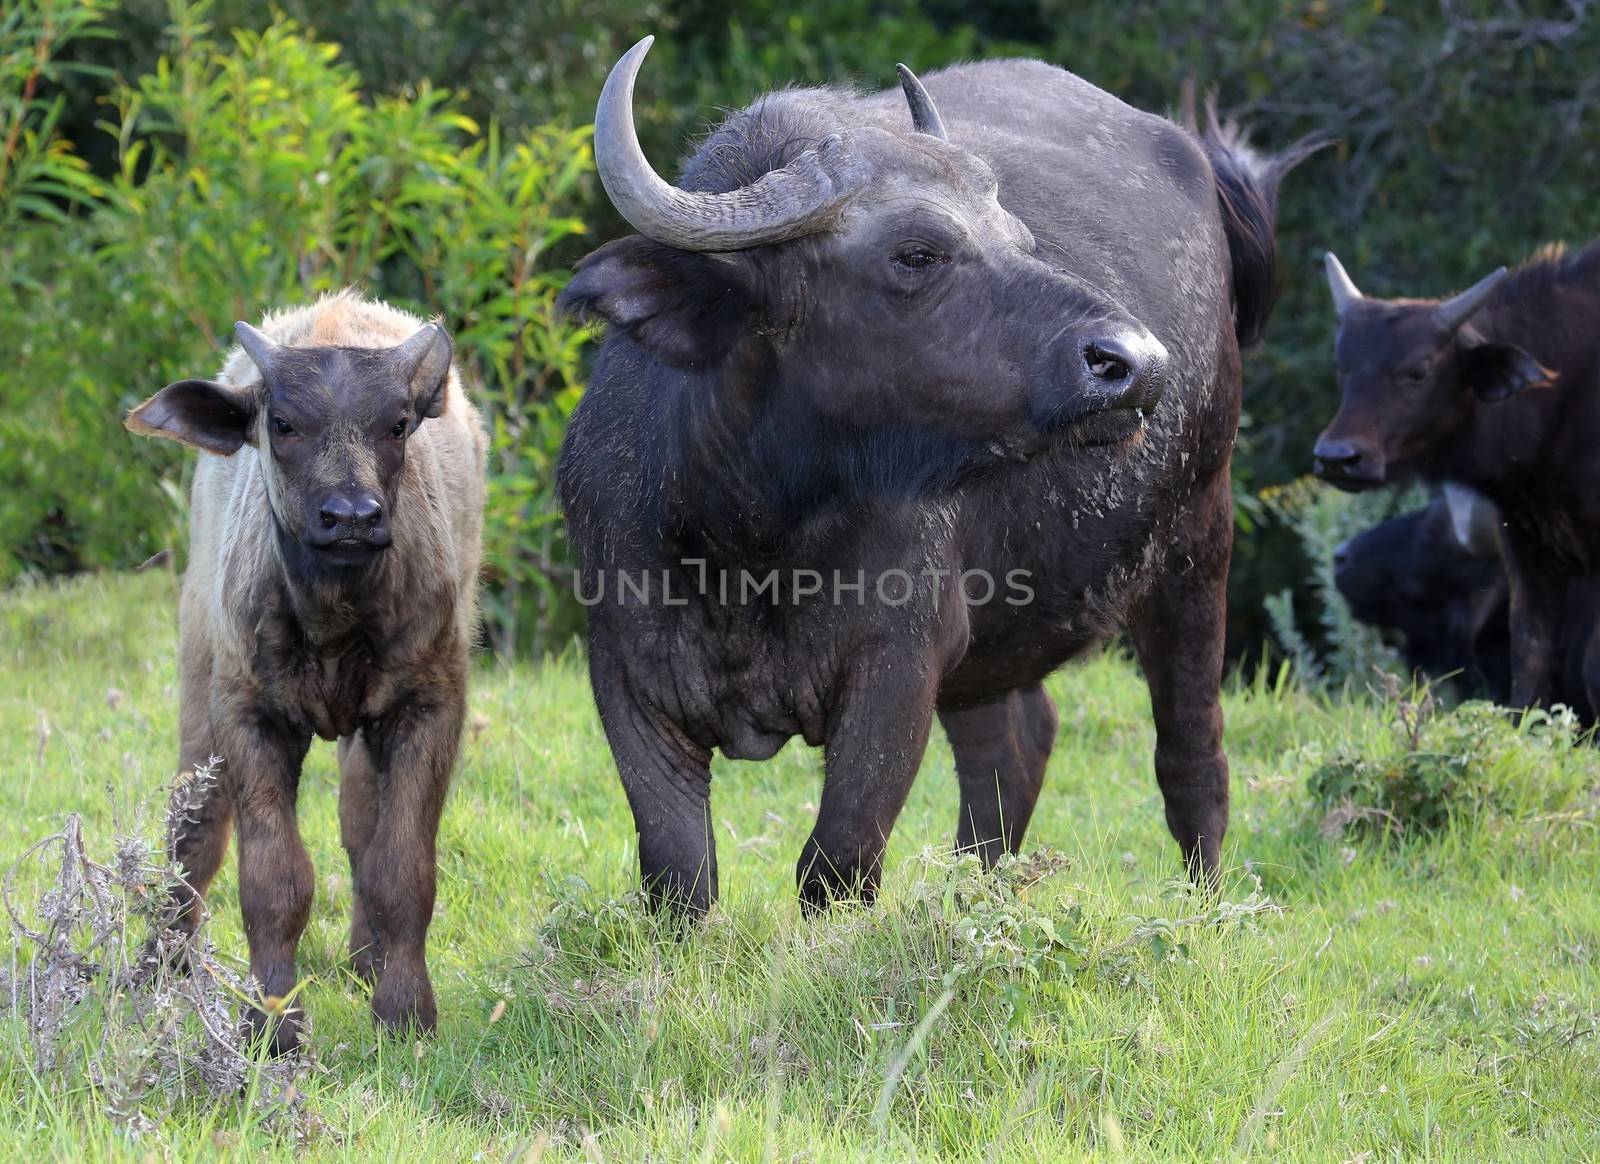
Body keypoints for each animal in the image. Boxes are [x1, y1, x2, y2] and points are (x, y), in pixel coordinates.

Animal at [553, 38, 1312, 920]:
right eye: (916, 253)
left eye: (1018, 236)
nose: (1138, 362)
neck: (749, 535)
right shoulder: (626, 677)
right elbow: (678, 874)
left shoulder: (898, 667)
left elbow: (837, 863)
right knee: (1012, 746)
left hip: (1196, 538)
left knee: (1192, 753)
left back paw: (1204, 907)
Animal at [1312, 244, 1600, 709]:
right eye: (1343, 368)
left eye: (1418, 370)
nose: (1337, 458)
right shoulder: (1528, 548)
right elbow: (1531, 657)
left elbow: (1591, 667)